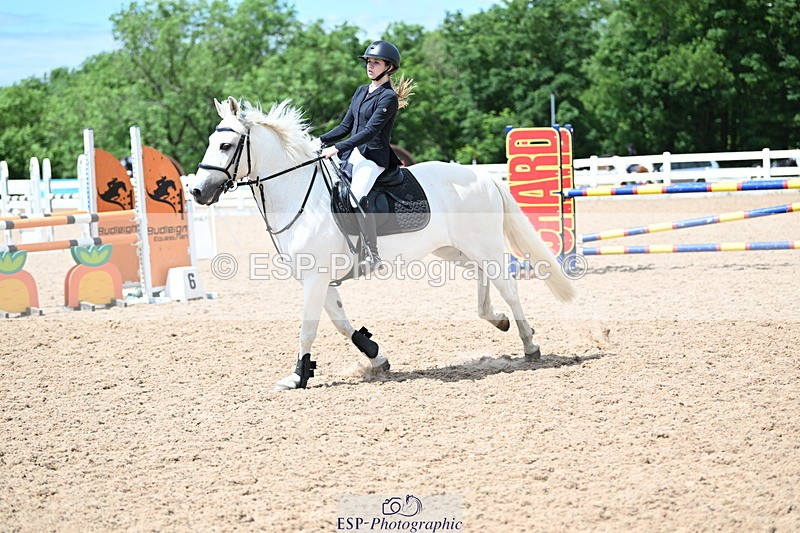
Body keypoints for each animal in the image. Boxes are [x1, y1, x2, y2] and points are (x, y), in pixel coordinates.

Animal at [189, 97, 576, 391]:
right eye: (210, 142)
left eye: (225, 145)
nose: (196, 191)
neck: (299, 193)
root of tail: (482, 176)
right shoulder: (317, 279)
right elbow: (341, 323)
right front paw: (376, 354)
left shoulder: (315, 278)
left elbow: (308, 329)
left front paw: (298, 377)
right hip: (455, 250)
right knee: (486, 279)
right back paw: (497, 320)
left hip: (483, 245)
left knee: (508, 285)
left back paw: (529, 343)